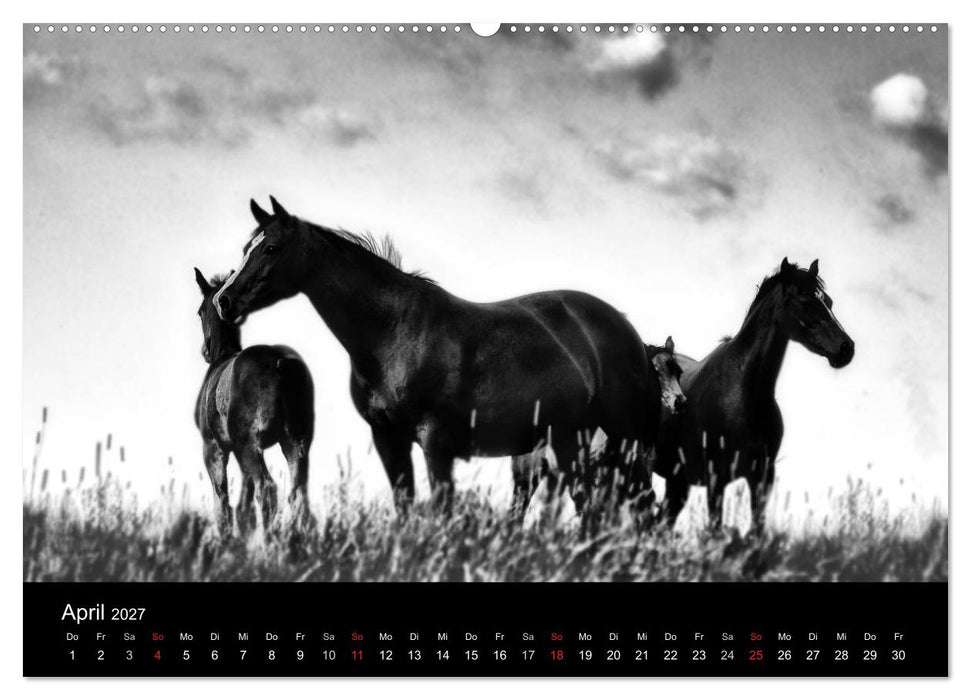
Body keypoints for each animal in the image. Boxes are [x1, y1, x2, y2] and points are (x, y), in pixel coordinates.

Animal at [194, 267, 315, 534]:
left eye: (200, 311)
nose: (204, 351)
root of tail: (280, 362)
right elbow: (244, 507)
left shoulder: (213, 448)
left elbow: (223, 503)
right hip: (295, 444)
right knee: (297, 497)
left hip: (249, 446)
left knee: (267, 490)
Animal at [213, 197, 658, 513]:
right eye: (246, 246)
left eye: (271, 247)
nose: (224, 300)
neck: (394, 333)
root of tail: (625, 329)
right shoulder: (389, 439)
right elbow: (406, 509)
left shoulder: (435, 441)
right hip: (569, 440)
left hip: (624, 437)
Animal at [654, 258, 855, 526]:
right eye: (803, 298)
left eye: (829, 301)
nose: (846, 348)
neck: (742, 394)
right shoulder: (716, 479)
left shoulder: (761, 477)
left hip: (677, 482)